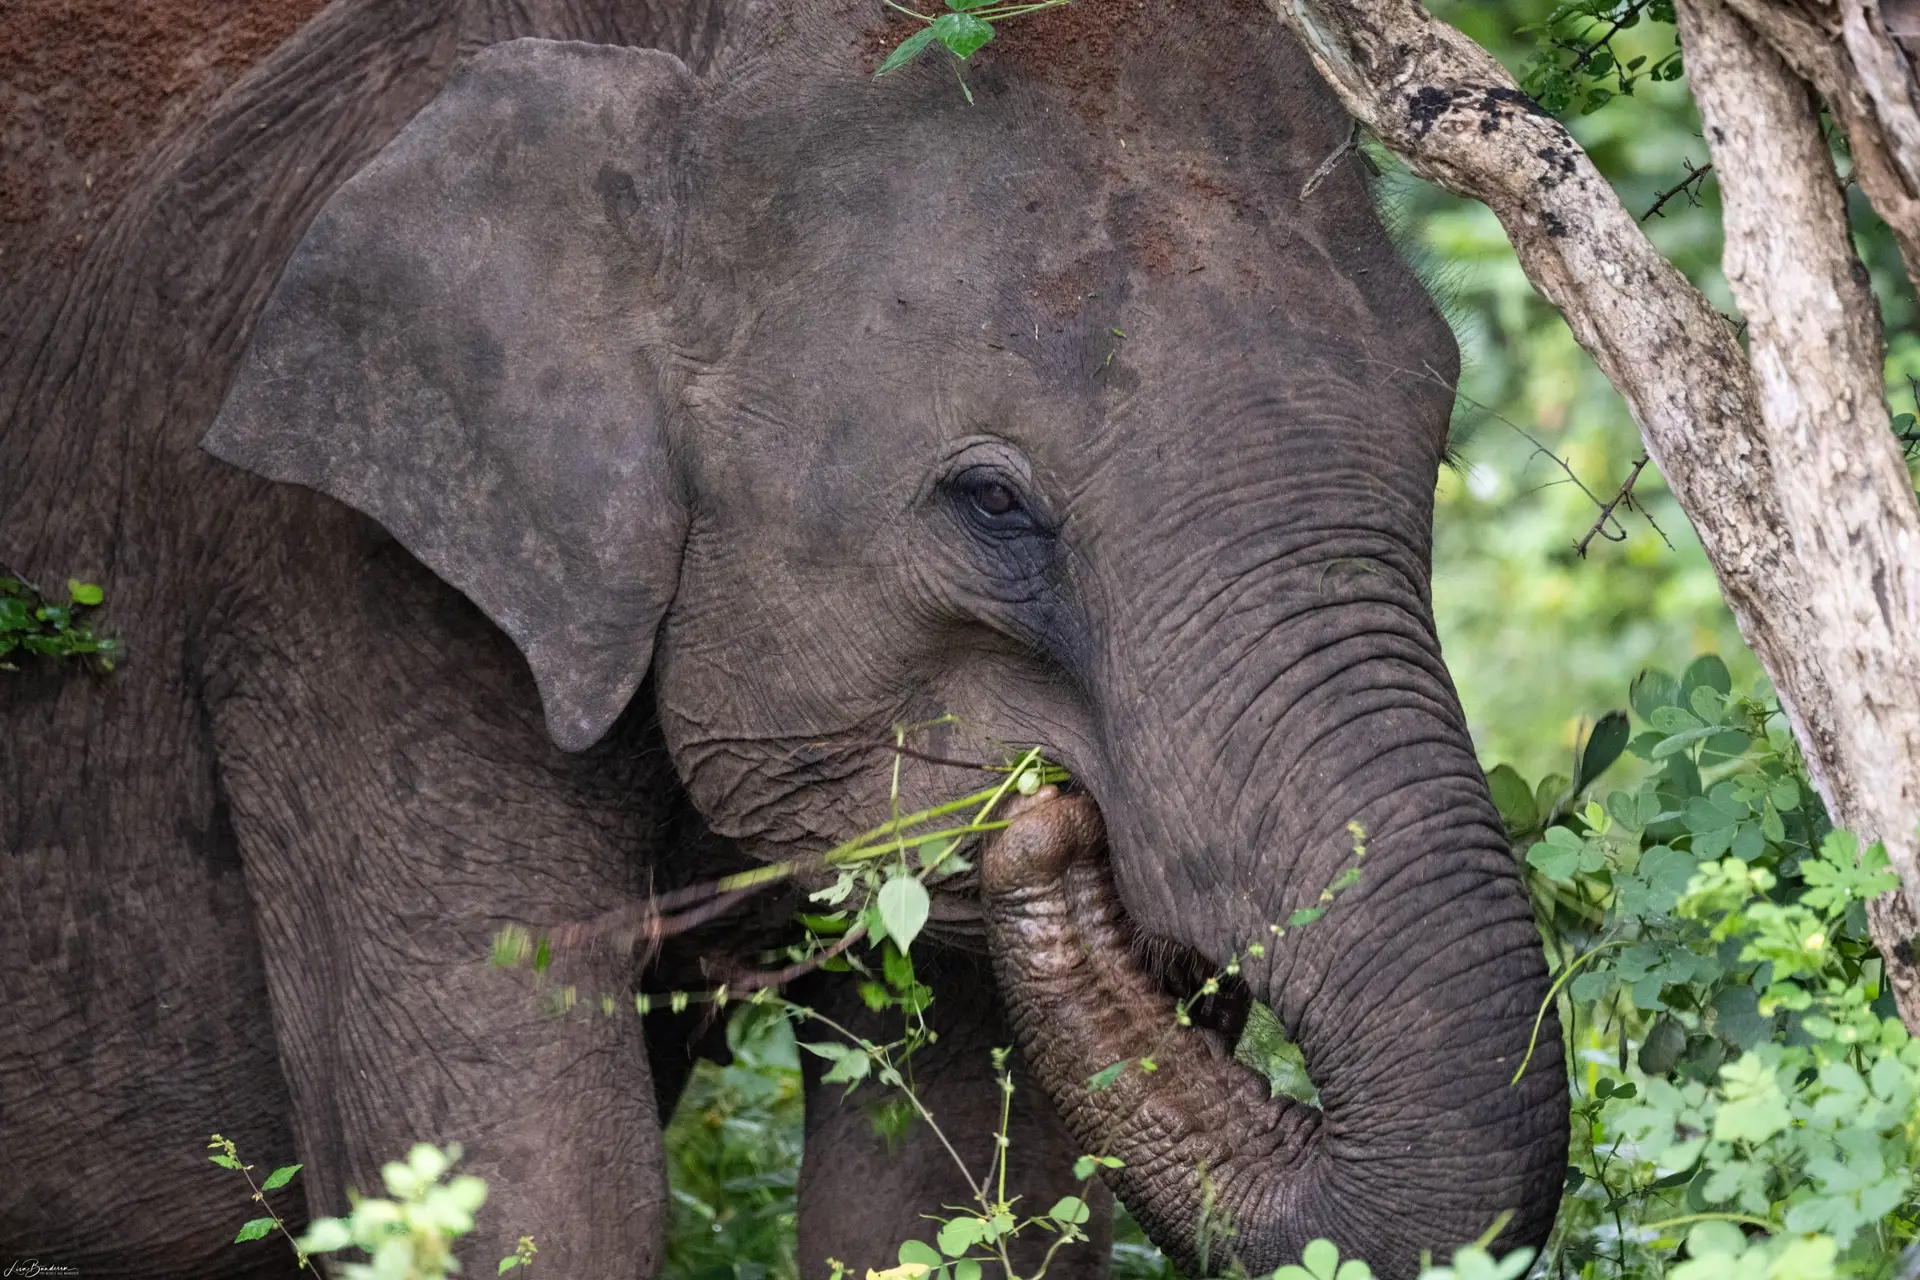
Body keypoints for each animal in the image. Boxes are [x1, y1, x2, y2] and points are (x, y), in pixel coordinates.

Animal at [0, 0, 1566, 1274]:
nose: (1055, 819)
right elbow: (534, 1196)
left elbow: (945, 1200)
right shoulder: (330, 580)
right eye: (993, 503)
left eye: (1438, 427)